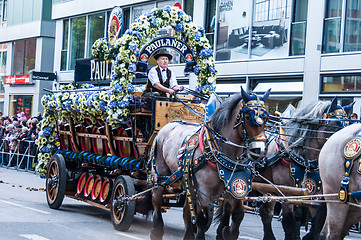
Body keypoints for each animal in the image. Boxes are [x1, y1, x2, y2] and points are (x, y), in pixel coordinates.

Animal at [148, 88, 268, 240]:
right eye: (248, 117)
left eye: (266, 118)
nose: (260, 150)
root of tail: (168, 126)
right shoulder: (204, 192)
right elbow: (201, 218)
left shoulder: (235, 188)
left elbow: (237, 215)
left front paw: (226, 232)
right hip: (160, 174)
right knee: (156, 200)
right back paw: (156, 230)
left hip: (188, 181)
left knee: (186, 210)